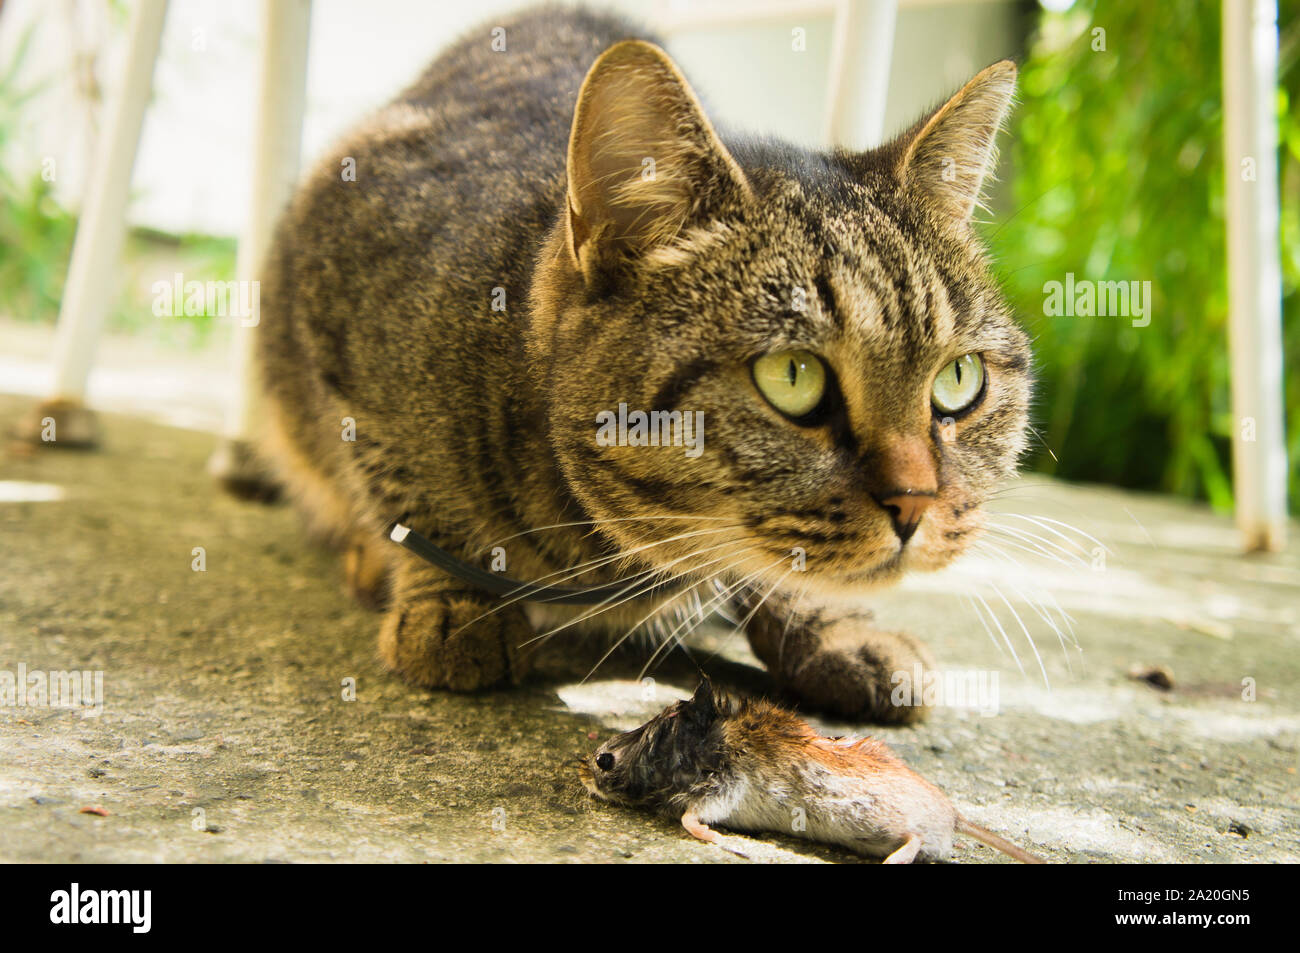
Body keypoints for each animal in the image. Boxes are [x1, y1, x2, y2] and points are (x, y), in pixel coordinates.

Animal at [256, 5, 1024, 722]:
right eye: (793, 378)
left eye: (959, 380)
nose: (917, 501)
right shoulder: (339, 285)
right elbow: (407, 485)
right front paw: (453, 601)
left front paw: (830, 629)